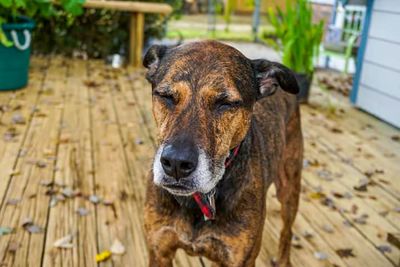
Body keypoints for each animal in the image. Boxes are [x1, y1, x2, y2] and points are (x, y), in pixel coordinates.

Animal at [144, 40, 304, 267]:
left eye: (226, 103)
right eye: (166, 96)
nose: (175, 164)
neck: (200, 199)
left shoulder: (240, 260)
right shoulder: (159, 251)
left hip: (289, 187)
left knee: (287, 230)